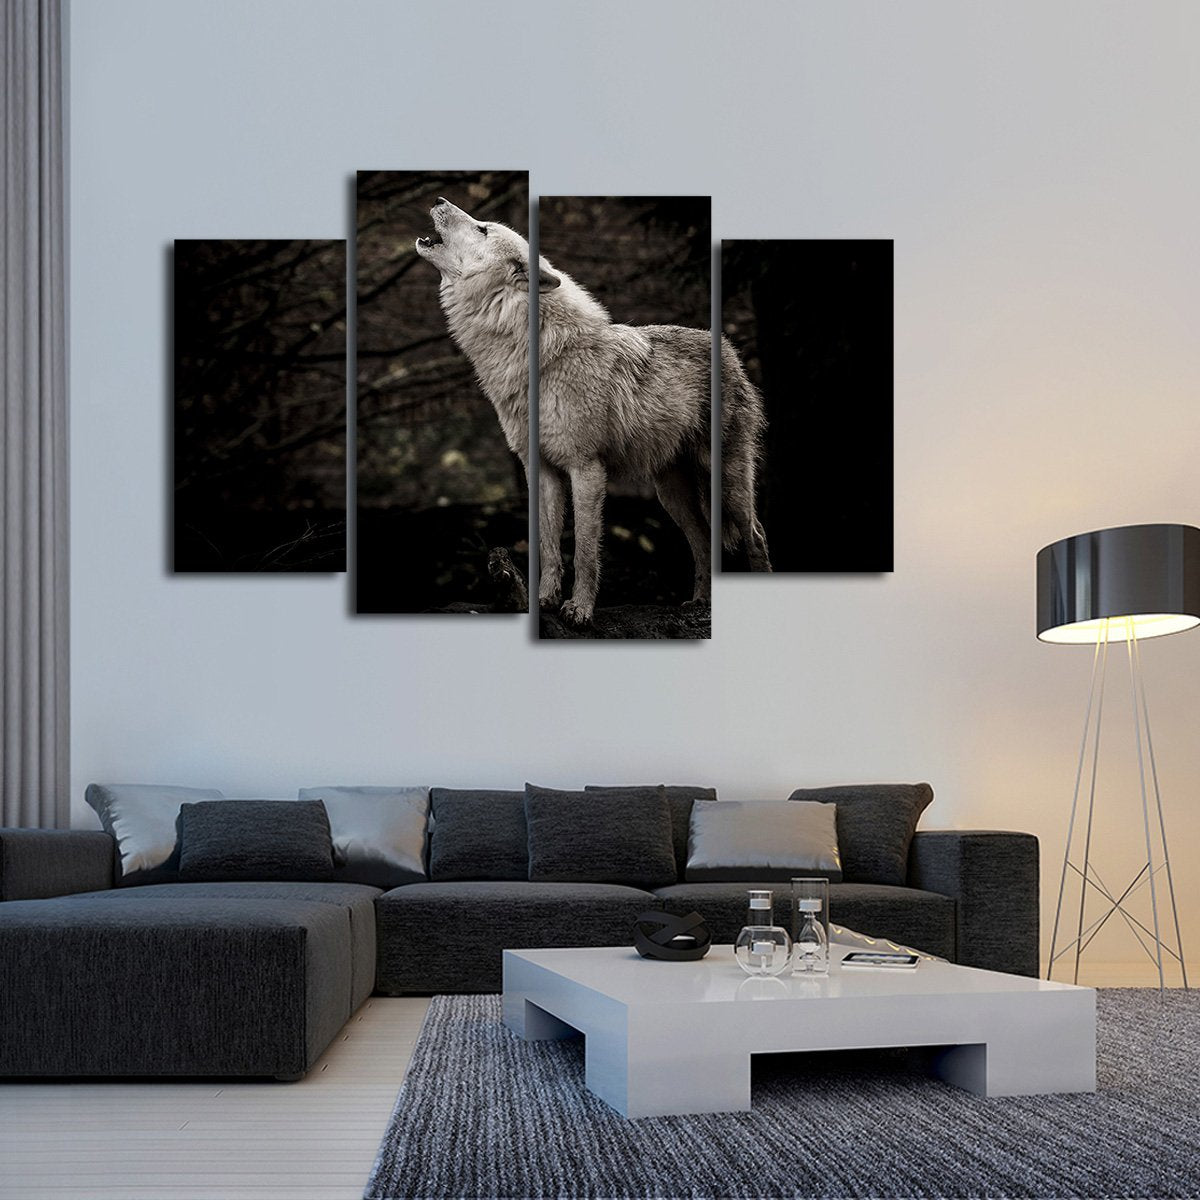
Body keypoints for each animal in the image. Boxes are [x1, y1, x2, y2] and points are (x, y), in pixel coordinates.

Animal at [416, 198, 770, 628]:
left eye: (483, 228)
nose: (439, 200)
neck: (536, 356)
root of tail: (730, 350)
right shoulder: (542, 469)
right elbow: (548, 546)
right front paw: (545, 600)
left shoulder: (586, 468)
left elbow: (584, 549)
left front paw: (579, 609)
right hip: (671, 493)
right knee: (703, 541)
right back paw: (700, 601)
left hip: (727, 481)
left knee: (756, 534)